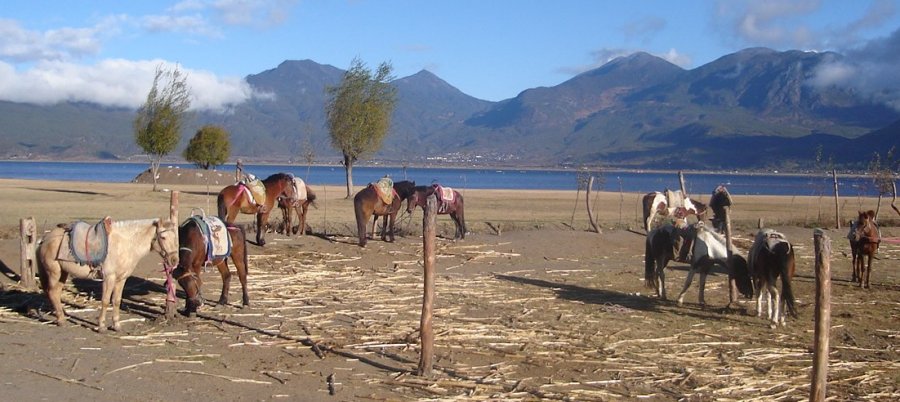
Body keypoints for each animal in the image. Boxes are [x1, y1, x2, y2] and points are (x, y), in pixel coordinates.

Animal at [37, 218, 179, 332]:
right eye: (163, 237)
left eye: (175, 238)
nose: (174, 260)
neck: (125, 244)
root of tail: (45, 239)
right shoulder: (109, 278)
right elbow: (105, 301)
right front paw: (101, 326)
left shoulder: (121, 279)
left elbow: (116, 301)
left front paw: (116, 326)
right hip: (54, 273)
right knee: (52, 292)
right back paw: (61, 320)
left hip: (63, 273)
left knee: (56, 293)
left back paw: (61, 316)